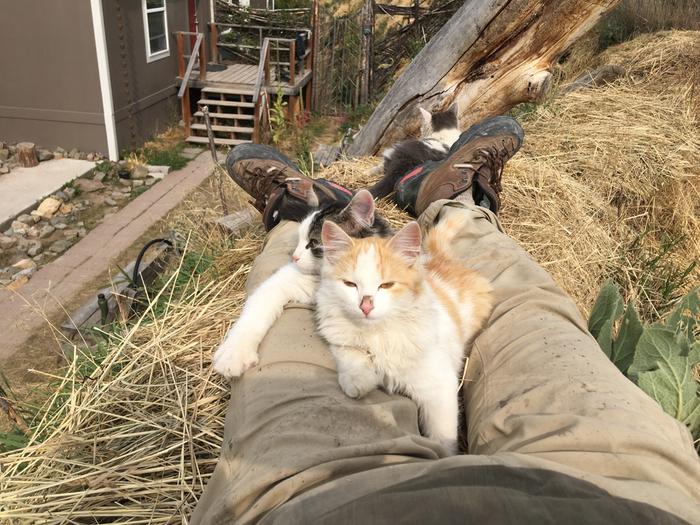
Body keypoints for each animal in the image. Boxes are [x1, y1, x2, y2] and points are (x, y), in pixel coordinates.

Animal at [211, 189, 392, 376]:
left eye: (313, 243)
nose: (294, 257)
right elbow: (256, 311)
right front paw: (234, 354)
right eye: (299, 239)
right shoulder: (281, 281)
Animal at [316, 215, 492, 452]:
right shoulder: (337, 334)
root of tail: (439, 258)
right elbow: (350, 351)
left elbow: (442, 434)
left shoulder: (440, 386)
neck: (378, 332)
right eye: (350, 284)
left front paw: (445, 453)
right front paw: (357, 380)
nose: (366, 306)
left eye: (387, 285)